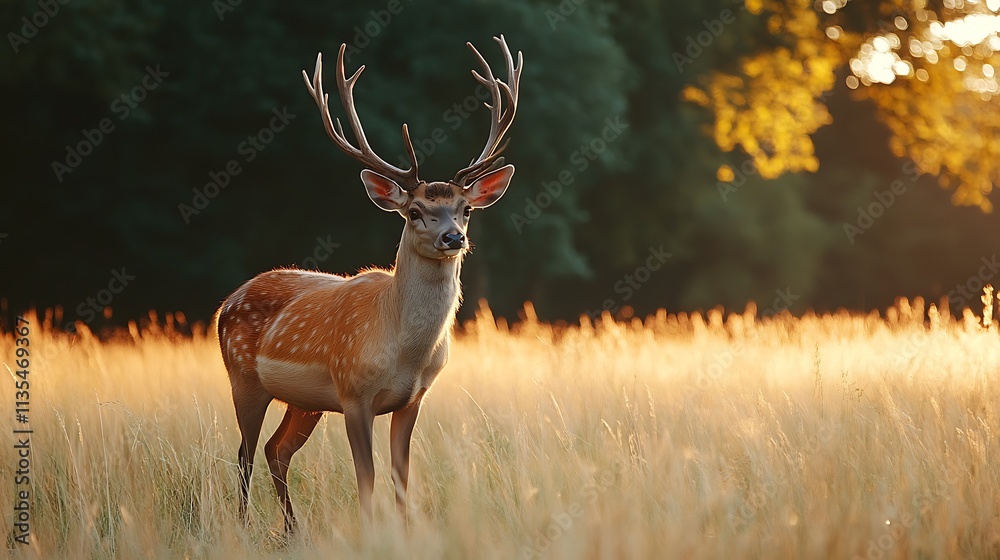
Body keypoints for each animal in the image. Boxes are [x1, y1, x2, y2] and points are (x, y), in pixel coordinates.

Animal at [216, 36, 521, 534]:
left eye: (466, 209)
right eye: (414, 211)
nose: (453, 237)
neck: (405, 352)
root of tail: (226, 303)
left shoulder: (413, 398)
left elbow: (401, 473)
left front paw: (406, 530)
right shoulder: (353, 391)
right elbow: (367, 474)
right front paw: (371, 533)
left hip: (305, 401)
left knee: (276, 451)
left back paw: (293, 530)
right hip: (243, 376)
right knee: (244, 454)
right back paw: (242, 527)